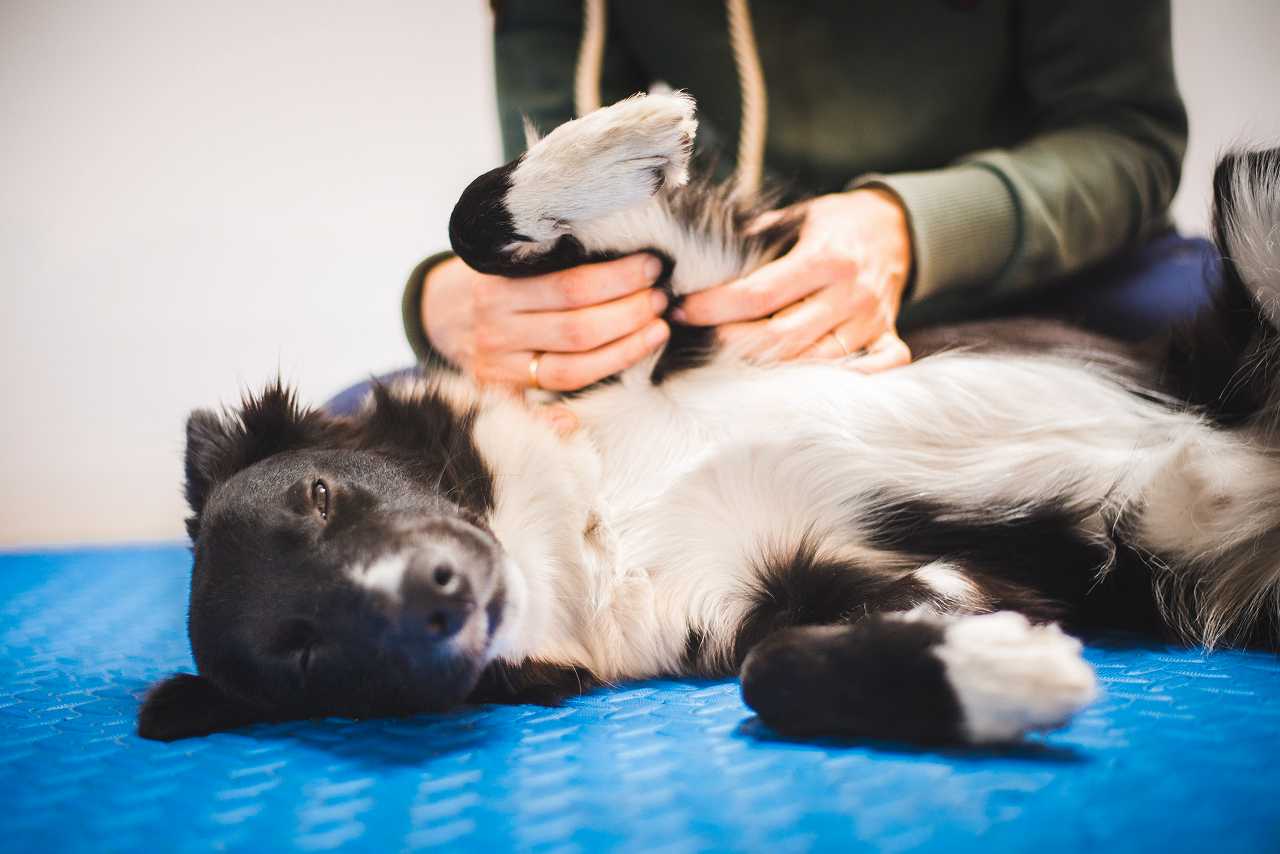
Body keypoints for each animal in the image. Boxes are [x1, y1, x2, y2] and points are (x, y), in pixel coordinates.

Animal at [140, 95, 1280, 747]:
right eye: (305, 653)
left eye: (320, 494)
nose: (437, 592)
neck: (599, 514)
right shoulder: (824, 592)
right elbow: (776, 673)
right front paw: (998, 677)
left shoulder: (703, 291)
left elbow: (474, 217)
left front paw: (628, 131)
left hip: (1238, 237)